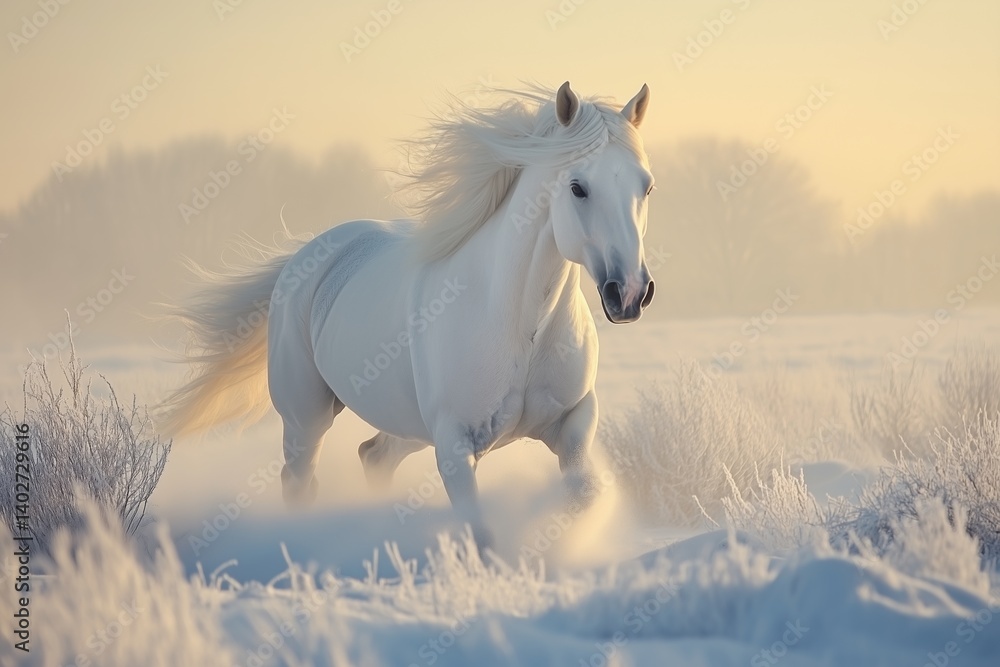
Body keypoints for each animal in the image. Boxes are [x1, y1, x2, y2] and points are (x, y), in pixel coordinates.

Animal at [158, 81, 656, 549]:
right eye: (578, 187)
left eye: (646, 186)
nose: (630, 293)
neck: (520, 323)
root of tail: (310, 254)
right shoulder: (454, 445)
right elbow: (480, 533)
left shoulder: (573, 422)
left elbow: (585, 494)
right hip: (306, 417)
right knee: (299, 482)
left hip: (405, 423)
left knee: (373, 456)